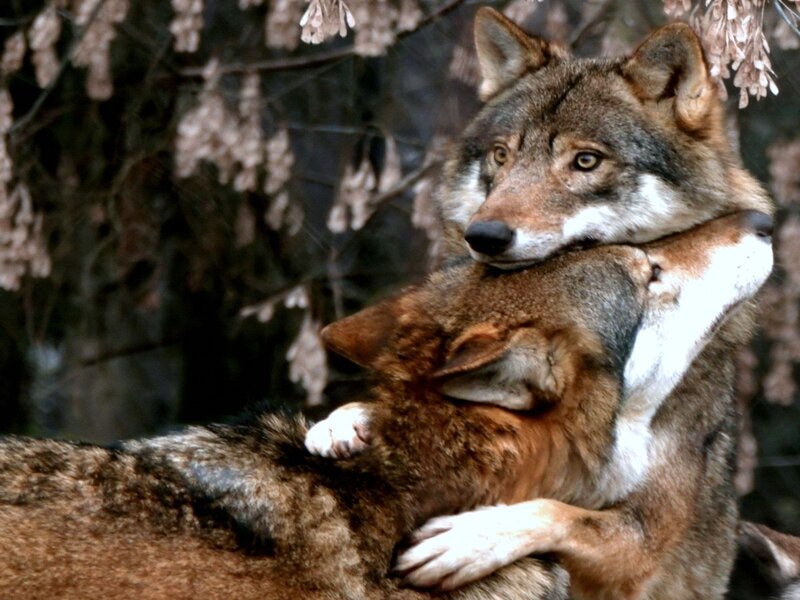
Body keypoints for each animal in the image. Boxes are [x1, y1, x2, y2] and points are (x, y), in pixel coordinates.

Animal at [309, 8, 774, 599]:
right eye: (501, 155)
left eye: (585, 161)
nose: (483, 236)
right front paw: (344, 420)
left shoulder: (645, 536)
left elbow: (557, 512)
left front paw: (467, 539)